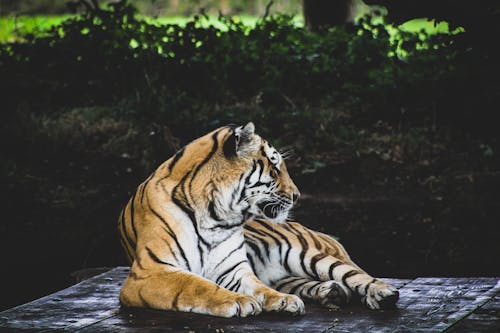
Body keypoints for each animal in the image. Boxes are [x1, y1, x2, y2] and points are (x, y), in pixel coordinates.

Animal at [118, 122, 398, 316]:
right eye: (274, 167)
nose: (297, 195)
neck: (215, 216)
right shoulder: (150, 272)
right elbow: (195, 285)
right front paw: (239, 301)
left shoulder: (232, 269)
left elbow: (258, 287)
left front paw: (279, 301)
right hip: (287, 273)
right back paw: (332, 293)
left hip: (306, 254)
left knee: (355, 275)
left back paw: (382, 293)